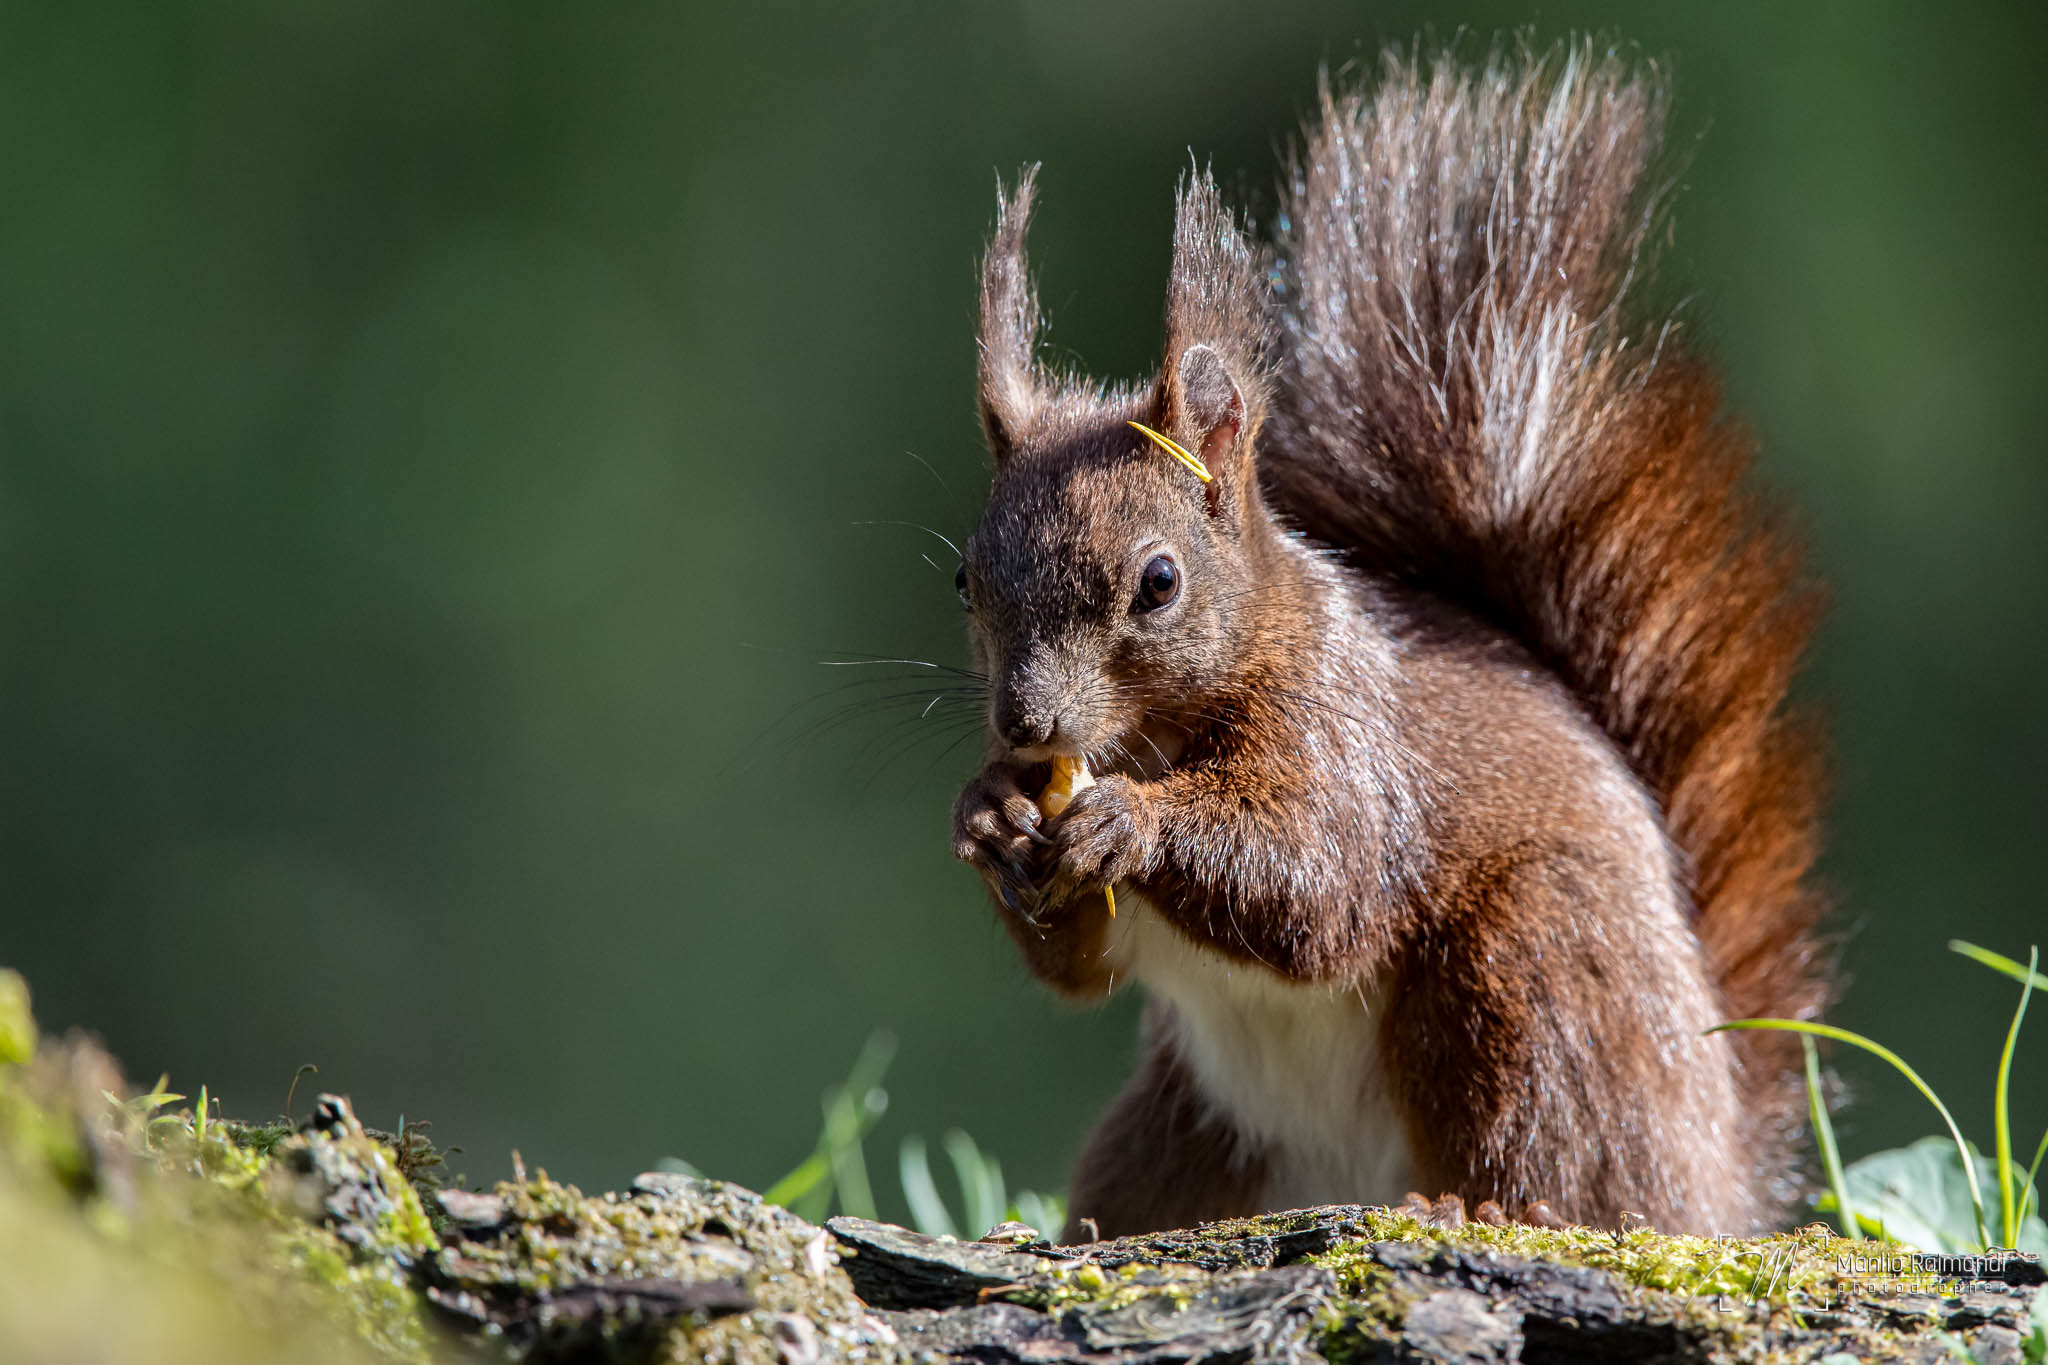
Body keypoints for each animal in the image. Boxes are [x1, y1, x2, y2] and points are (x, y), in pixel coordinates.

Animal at [949, 41, 1829, 1240]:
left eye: (1159, 582)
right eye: (963, 580)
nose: (1024, 723)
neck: (1158, 732)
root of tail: (1709, 1179)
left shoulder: (1346, 733)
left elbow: (1321, 882)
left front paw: (1129, 823)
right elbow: (1079, 972)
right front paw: (988, 813)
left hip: (1527, 980)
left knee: (1553, 1165)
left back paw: (1473, 1208)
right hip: (1173, 1142)